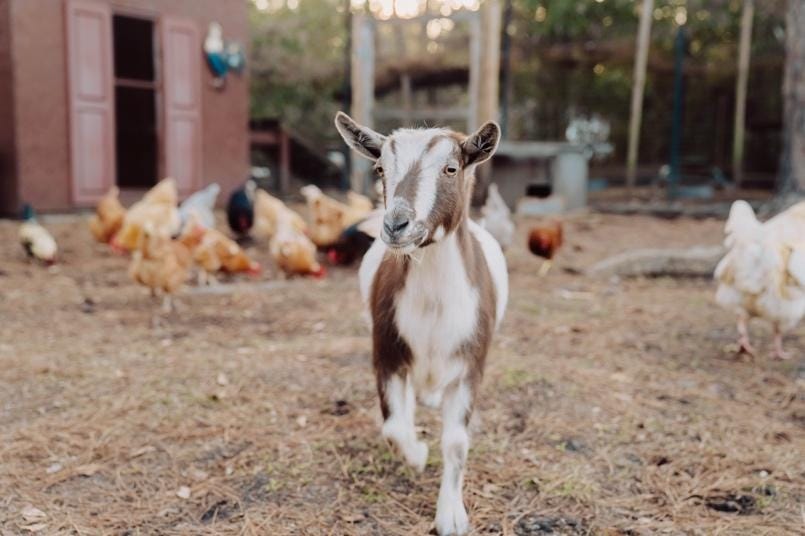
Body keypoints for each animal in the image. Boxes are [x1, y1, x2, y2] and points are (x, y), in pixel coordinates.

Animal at [335, 112, 508, 535]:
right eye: (380, 168)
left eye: (451, 168)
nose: (397, 225)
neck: (435, 305)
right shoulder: (386, 350)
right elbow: (394, 428)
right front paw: (417, 454)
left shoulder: (471, 364)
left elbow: (457, 443)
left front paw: (451, 515)